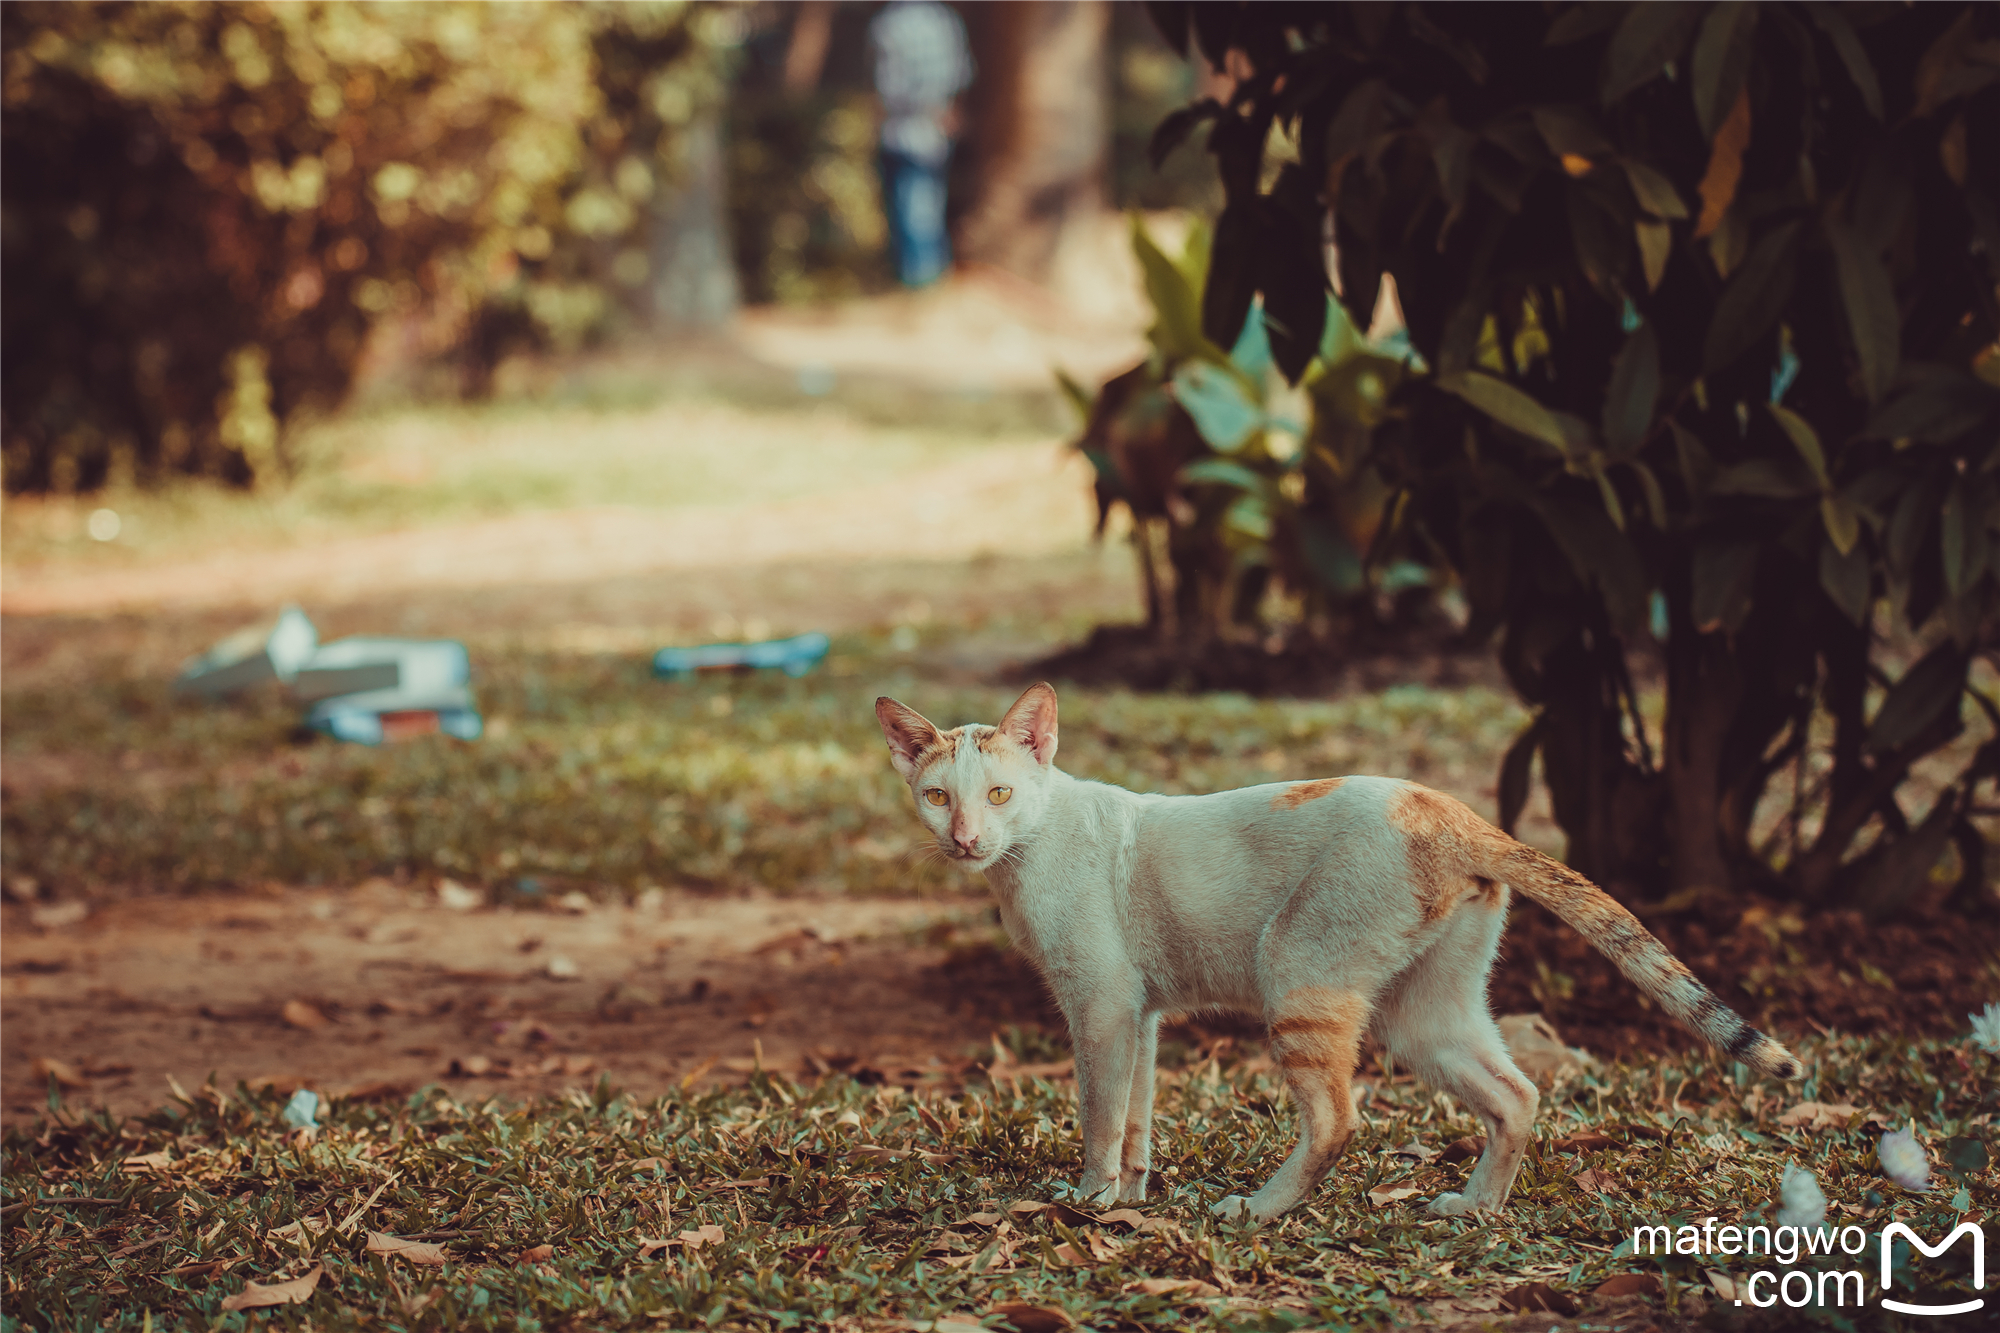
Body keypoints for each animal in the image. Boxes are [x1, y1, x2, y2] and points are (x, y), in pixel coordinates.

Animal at [872, 680, 1800, 1216]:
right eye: (936, 796)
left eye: (999, 793)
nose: (964, 839)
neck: (1024, 854)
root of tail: (1452, 812)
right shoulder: (1139, 1014)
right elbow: (1136, 1116)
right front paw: (1130, 1201)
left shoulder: (1099, 1006)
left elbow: (1099, 1117)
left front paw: (1090, 1202)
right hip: (1425, 1013)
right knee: (1516, 1094)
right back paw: (1475, 1212)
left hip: (1299, 975)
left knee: (1338, 1119)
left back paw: (1257, 1209)